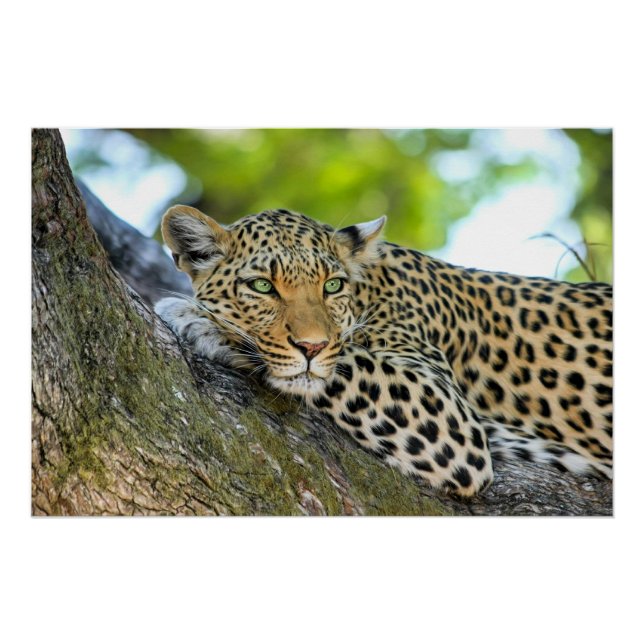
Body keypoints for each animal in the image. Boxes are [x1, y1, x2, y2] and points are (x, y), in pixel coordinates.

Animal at [154, 205, 613, 496]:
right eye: (263, 286)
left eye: (332, 286)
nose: (311, 345)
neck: (370, 290)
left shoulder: (448, 416)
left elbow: (345, 362)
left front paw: (201, 320)